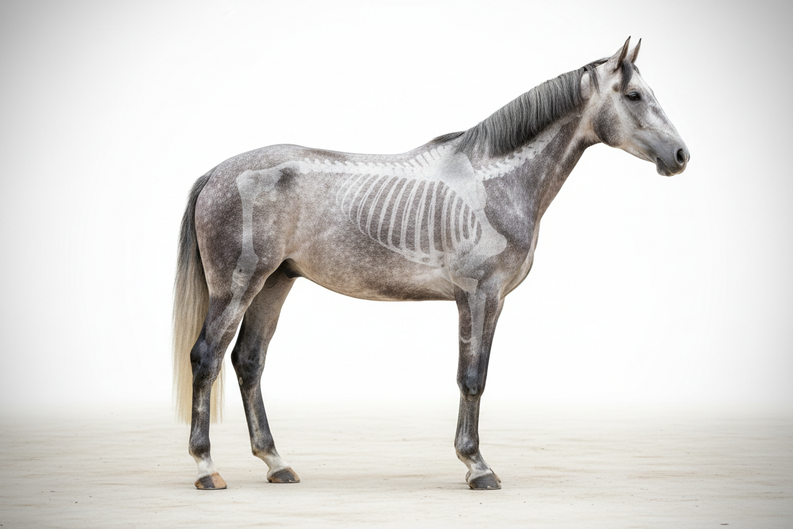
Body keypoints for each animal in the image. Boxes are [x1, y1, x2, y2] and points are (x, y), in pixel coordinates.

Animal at [173, 37, 689, 491]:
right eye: (635, 95)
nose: (681, 155)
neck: (491, 183)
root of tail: (216, 172)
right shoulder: (478, 296)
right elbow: (472, 378)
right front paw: (477, 466)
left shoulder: (492, 301)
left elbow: (478, 376)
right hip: (238, 286)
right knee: (207, 358)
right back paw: (206, 468)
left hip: (276, 282)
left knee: (248, 361)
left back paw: (276, 463)